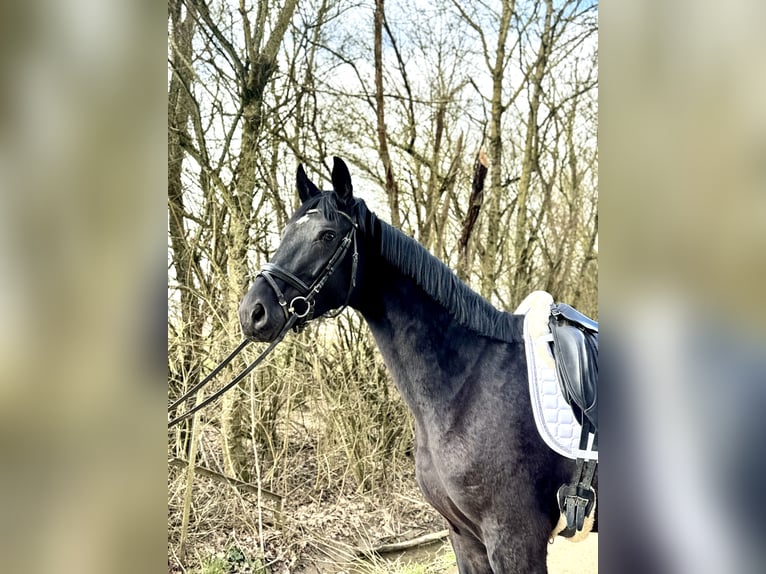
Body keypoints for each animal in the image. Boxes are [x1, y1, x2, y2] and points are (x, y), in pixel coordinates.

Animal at [243, 159, 580, 574]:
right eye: (286, 233)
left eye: (326, 235)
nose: (253, 312)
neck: (469, 385)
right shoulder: (465, 538)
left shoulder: (515, 539)